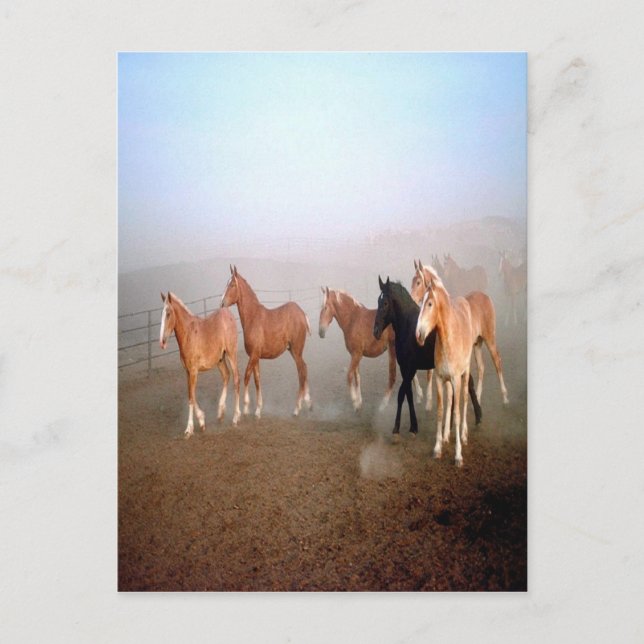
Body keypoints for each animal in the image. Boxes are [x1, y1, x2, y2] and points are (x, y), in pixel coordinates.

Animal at [159, 291, 241, 437]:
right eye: (161, 314)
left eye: (168, 313)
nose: (161, 342)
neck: (188, 334)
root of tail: (228, 313)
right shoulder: (187, 371)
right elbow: (191, 395)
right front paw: (202, 422)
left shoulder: (193, 371)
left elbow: (191, 398)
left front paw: (189, 429)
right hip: (220, 359)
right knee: (226, 376)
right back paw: (220, 413)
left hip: (231, 354)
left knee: (236, 379)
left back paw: (236, 418)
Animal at [220, 266, 312, 418]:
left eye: (232, 284)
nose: (222, 304)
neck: (253, 317)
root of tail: (302, 314)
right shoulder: (256, 357)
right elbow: (257, 380)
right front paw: (258, 410)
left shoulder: (253, 355)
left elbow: (246, 377)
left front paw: (246, 408)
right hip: (293, 351)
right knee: (304, 368)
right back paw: (308, 403)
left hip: (297, 351)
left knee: (301, 372)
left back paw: (297, 409)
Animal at [373, 277, 481, 442]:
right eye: (378, 301)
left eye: (385, 303)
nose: (376, 331)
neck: (408, 326)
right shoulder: (405, 368)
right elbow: (409, 394)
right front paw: (413, 427)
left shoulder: (411, 368)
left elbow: (401, 394)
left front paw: (396, 430)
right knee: (468, 384)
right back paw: (470, 419)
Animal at [411, 260, 509, 406]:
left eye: (418, 282)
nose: (411, 298)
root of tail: (486, 297)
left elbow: (430, 373)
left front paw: (428, 401)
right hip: (477, 344)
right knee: (481, 367)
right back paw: (478, 397)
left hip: (490, 339)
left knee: (497, 361)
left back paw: (505, 397)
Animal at [415, 275, 474, 467]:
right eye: (422, 302)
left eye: (430, 304)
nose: (418, 334)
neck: (448, 338)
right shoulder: (440, 379)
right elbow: (441, 410)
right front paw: (437, 448)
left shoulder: (456, 378)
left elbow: (456, 412)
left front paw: (458, 456)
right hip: (448, 381)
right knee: (449, 400)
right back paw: (447, 434)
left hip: (464, 374)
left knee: (464, 400)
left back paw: (463, 435)